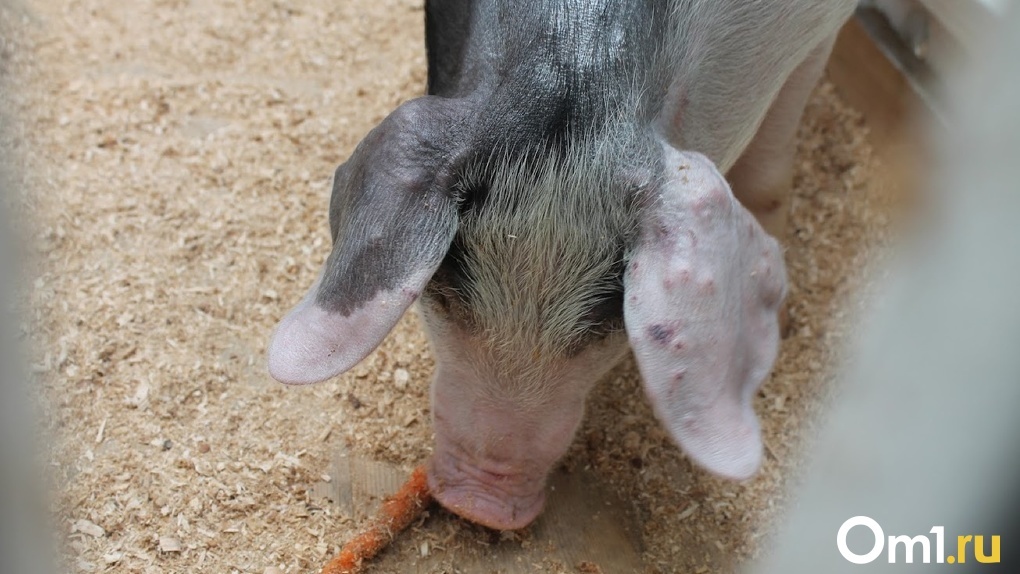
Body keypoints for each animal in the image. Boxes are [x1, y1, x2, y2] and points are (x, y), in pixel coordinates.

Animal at [267, 0, 856, 530]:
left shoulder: (819, 31)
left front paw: (784, 326)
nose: (478, 502)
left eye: (608, 317)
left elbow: (772, 167)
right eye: (447, 288)